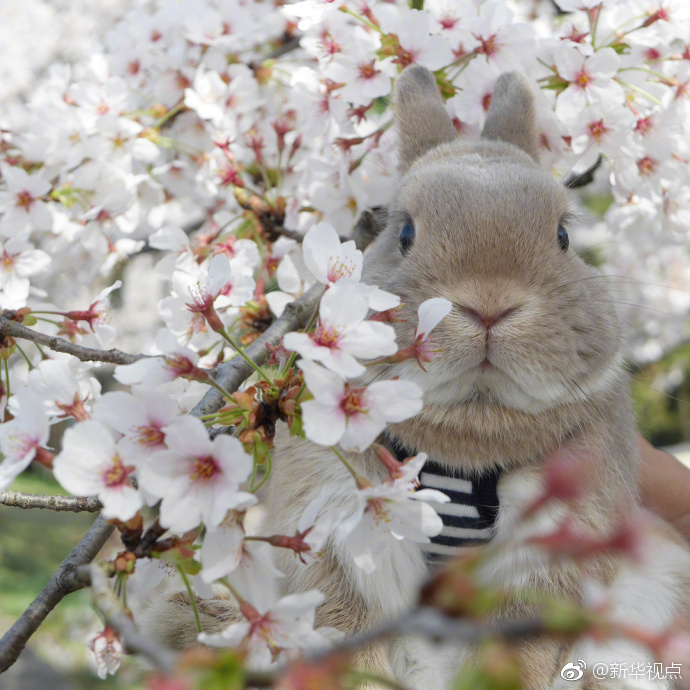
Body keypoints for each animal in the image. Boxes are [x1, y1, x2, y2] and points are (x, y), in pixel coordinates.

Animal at [140, 63, 688, 684]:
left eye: (563, 235)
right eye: (404, 233)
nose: (489, 306)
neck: (472, 427)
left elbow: (516, 652)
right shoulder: (340, 539)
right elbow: (350, 635)